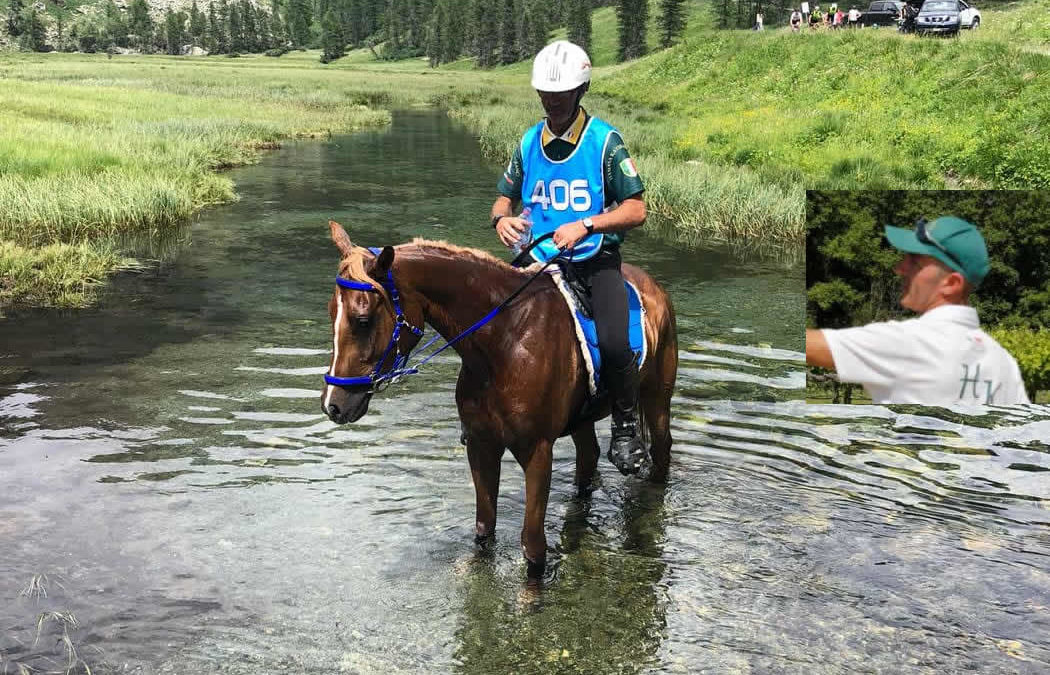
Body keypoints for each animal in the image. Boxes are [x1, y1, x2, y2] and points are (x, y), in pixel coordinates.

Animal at [321, 219, 680, 579]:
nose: (333, 404)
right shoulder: (482, 444)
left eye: (363, 320)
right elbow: (484, 531)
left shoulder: (537, 452)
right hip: (582, 418)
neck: (505, 341)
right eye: (331, 311)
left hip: (657, 397)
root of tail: (654, 286)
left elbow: (533, 548)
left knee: (661, 450)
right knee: (588, 458)